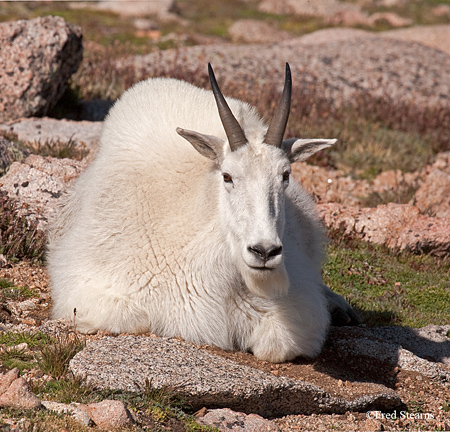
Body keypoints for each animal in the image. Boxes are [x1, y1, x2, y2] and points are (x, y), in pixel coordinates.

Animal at [48, 62, 358, 362]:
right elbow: (137, 319)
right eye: (227, 176)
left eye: (285, 175)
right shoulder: (92, 290)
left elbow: (277, 347)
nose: (264, 252)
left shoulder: (298, 305)